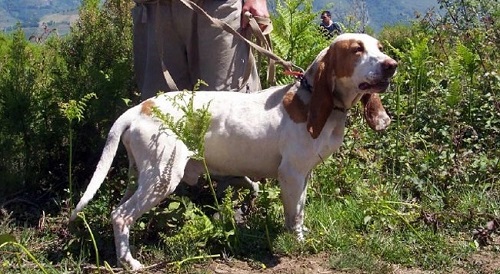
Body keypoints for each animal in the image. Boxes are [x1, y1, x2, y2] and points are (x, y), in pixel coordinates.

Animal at [70, 32, 398, 270]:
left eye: (379, 47)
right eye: (356, 49)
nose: (391, 64)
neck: (313, 101)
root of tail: (140, 108)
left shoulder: (304, 175)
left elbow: (301, 212)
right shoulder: (290, 174)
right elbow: (294, 217)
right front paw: (298, 243)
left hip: (141, 175)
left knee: (119, 210)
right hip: (162, 178)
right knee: (121, 215)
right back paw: (129, 262)